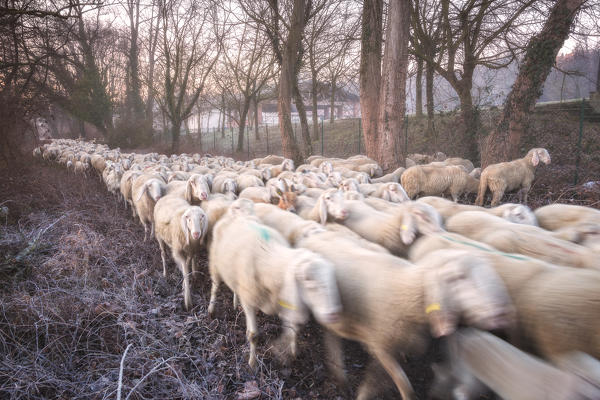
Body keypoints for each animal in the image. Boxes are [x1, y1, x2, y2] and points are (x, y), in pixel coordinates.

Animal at [290, 238, 510, 400]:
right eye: (458, 277)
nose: (501, 314)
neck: (409, 290)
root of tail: (312, 237)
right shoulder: (382, 347)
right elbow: (401, 383)